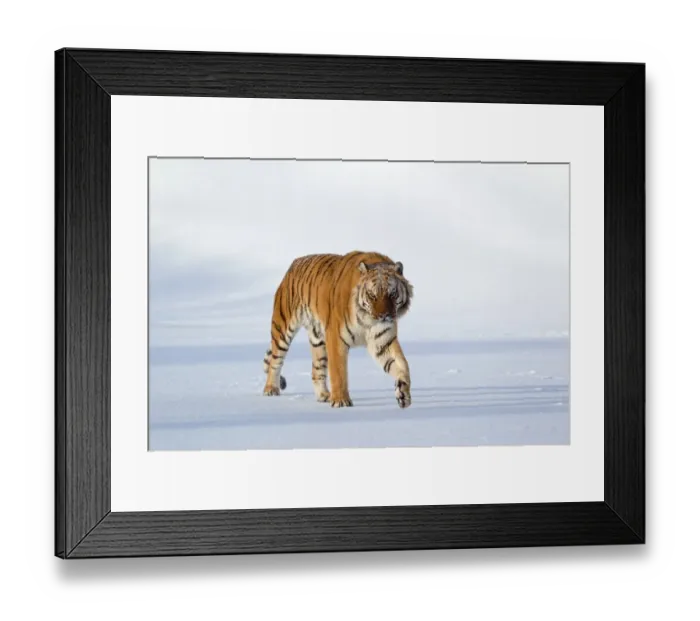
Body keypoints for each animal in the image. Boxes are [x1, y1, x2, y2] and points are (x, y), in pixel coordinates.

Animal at [263, 251, 414, 408]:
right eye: (372, 295)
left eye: (392, 293)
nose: (384, 316)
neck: (367, 321)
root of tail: (294, 264)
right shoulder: (336, 338)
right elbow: (338, 372)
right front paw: (341, 401)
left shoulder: (382, 341)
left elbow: (402, 364)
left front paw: (403, 394)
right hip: (282, 328)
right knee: (275, 361)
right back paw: (271, 389)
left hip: (318, 340)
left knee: (317, 369)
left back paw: (324, 395)